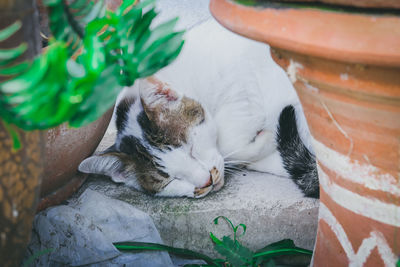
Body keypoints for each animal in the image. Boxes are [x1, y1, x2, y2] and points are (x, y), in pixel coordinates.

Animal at [79, 18, 320, 199]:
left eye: (192, 150)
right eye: (171, 180)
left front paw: (266, 139)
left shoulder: (239, 87)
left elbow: (229, 141)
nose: (206, 181)